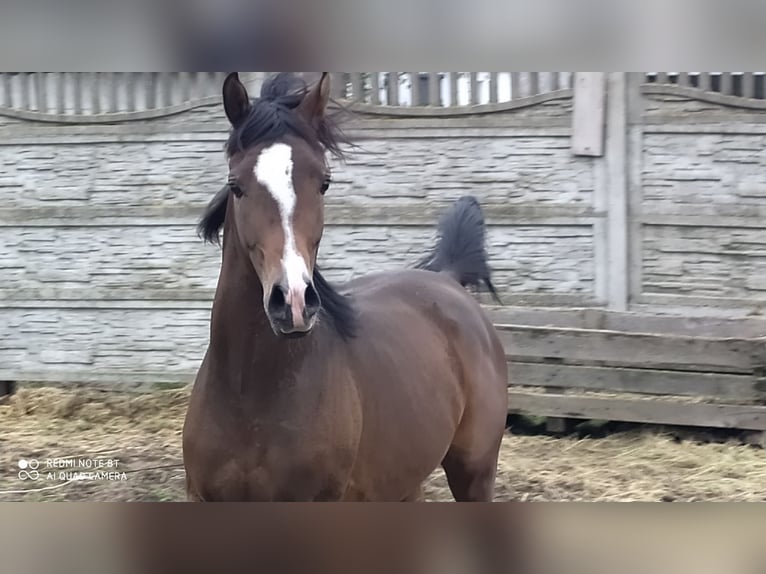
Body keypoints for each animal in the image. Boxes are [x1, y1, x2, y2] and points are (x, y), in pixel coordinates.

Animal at [182, 72, 509, 501]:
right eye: (235, 185)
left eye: (324, 183)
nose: (293, 303)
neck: (249, 398)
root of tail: (448, 279)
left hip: (475, 473)